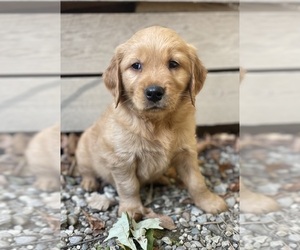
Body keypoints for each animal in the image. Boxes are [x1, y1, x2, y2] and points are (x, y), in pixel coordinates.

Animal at [75, 25, 227, 217]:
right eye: (136, 65)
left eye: (173, 64)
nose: (154, 92)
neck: (157, 123)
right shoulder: (122, 160)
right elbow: (129, 186)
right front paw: (131, 209)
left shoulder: (187, 152)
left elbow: (197, 181)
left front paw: (209, 202)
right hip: (83, 150)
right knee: (86, 170)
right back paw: (89, 182)